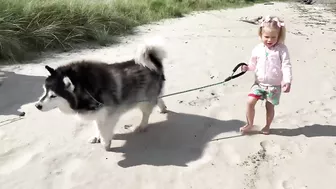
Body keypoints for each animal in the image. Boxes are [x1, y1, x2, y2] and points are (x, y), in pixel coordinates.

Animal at [34, 37, 168, 151]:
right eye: (44, 90)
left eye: (53, 95)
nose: (37, 106)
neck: (86, 88)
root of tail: (154, 63)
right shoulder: (97, 111)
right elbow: (97, 124)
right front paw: (97, 136)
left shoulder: (110, 113)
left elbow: (104, 129)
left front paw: (105, 142)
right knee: (158, 97)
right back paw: (162, 107)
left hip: (144, 98)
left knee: (146, 112)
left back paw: (142, 125)